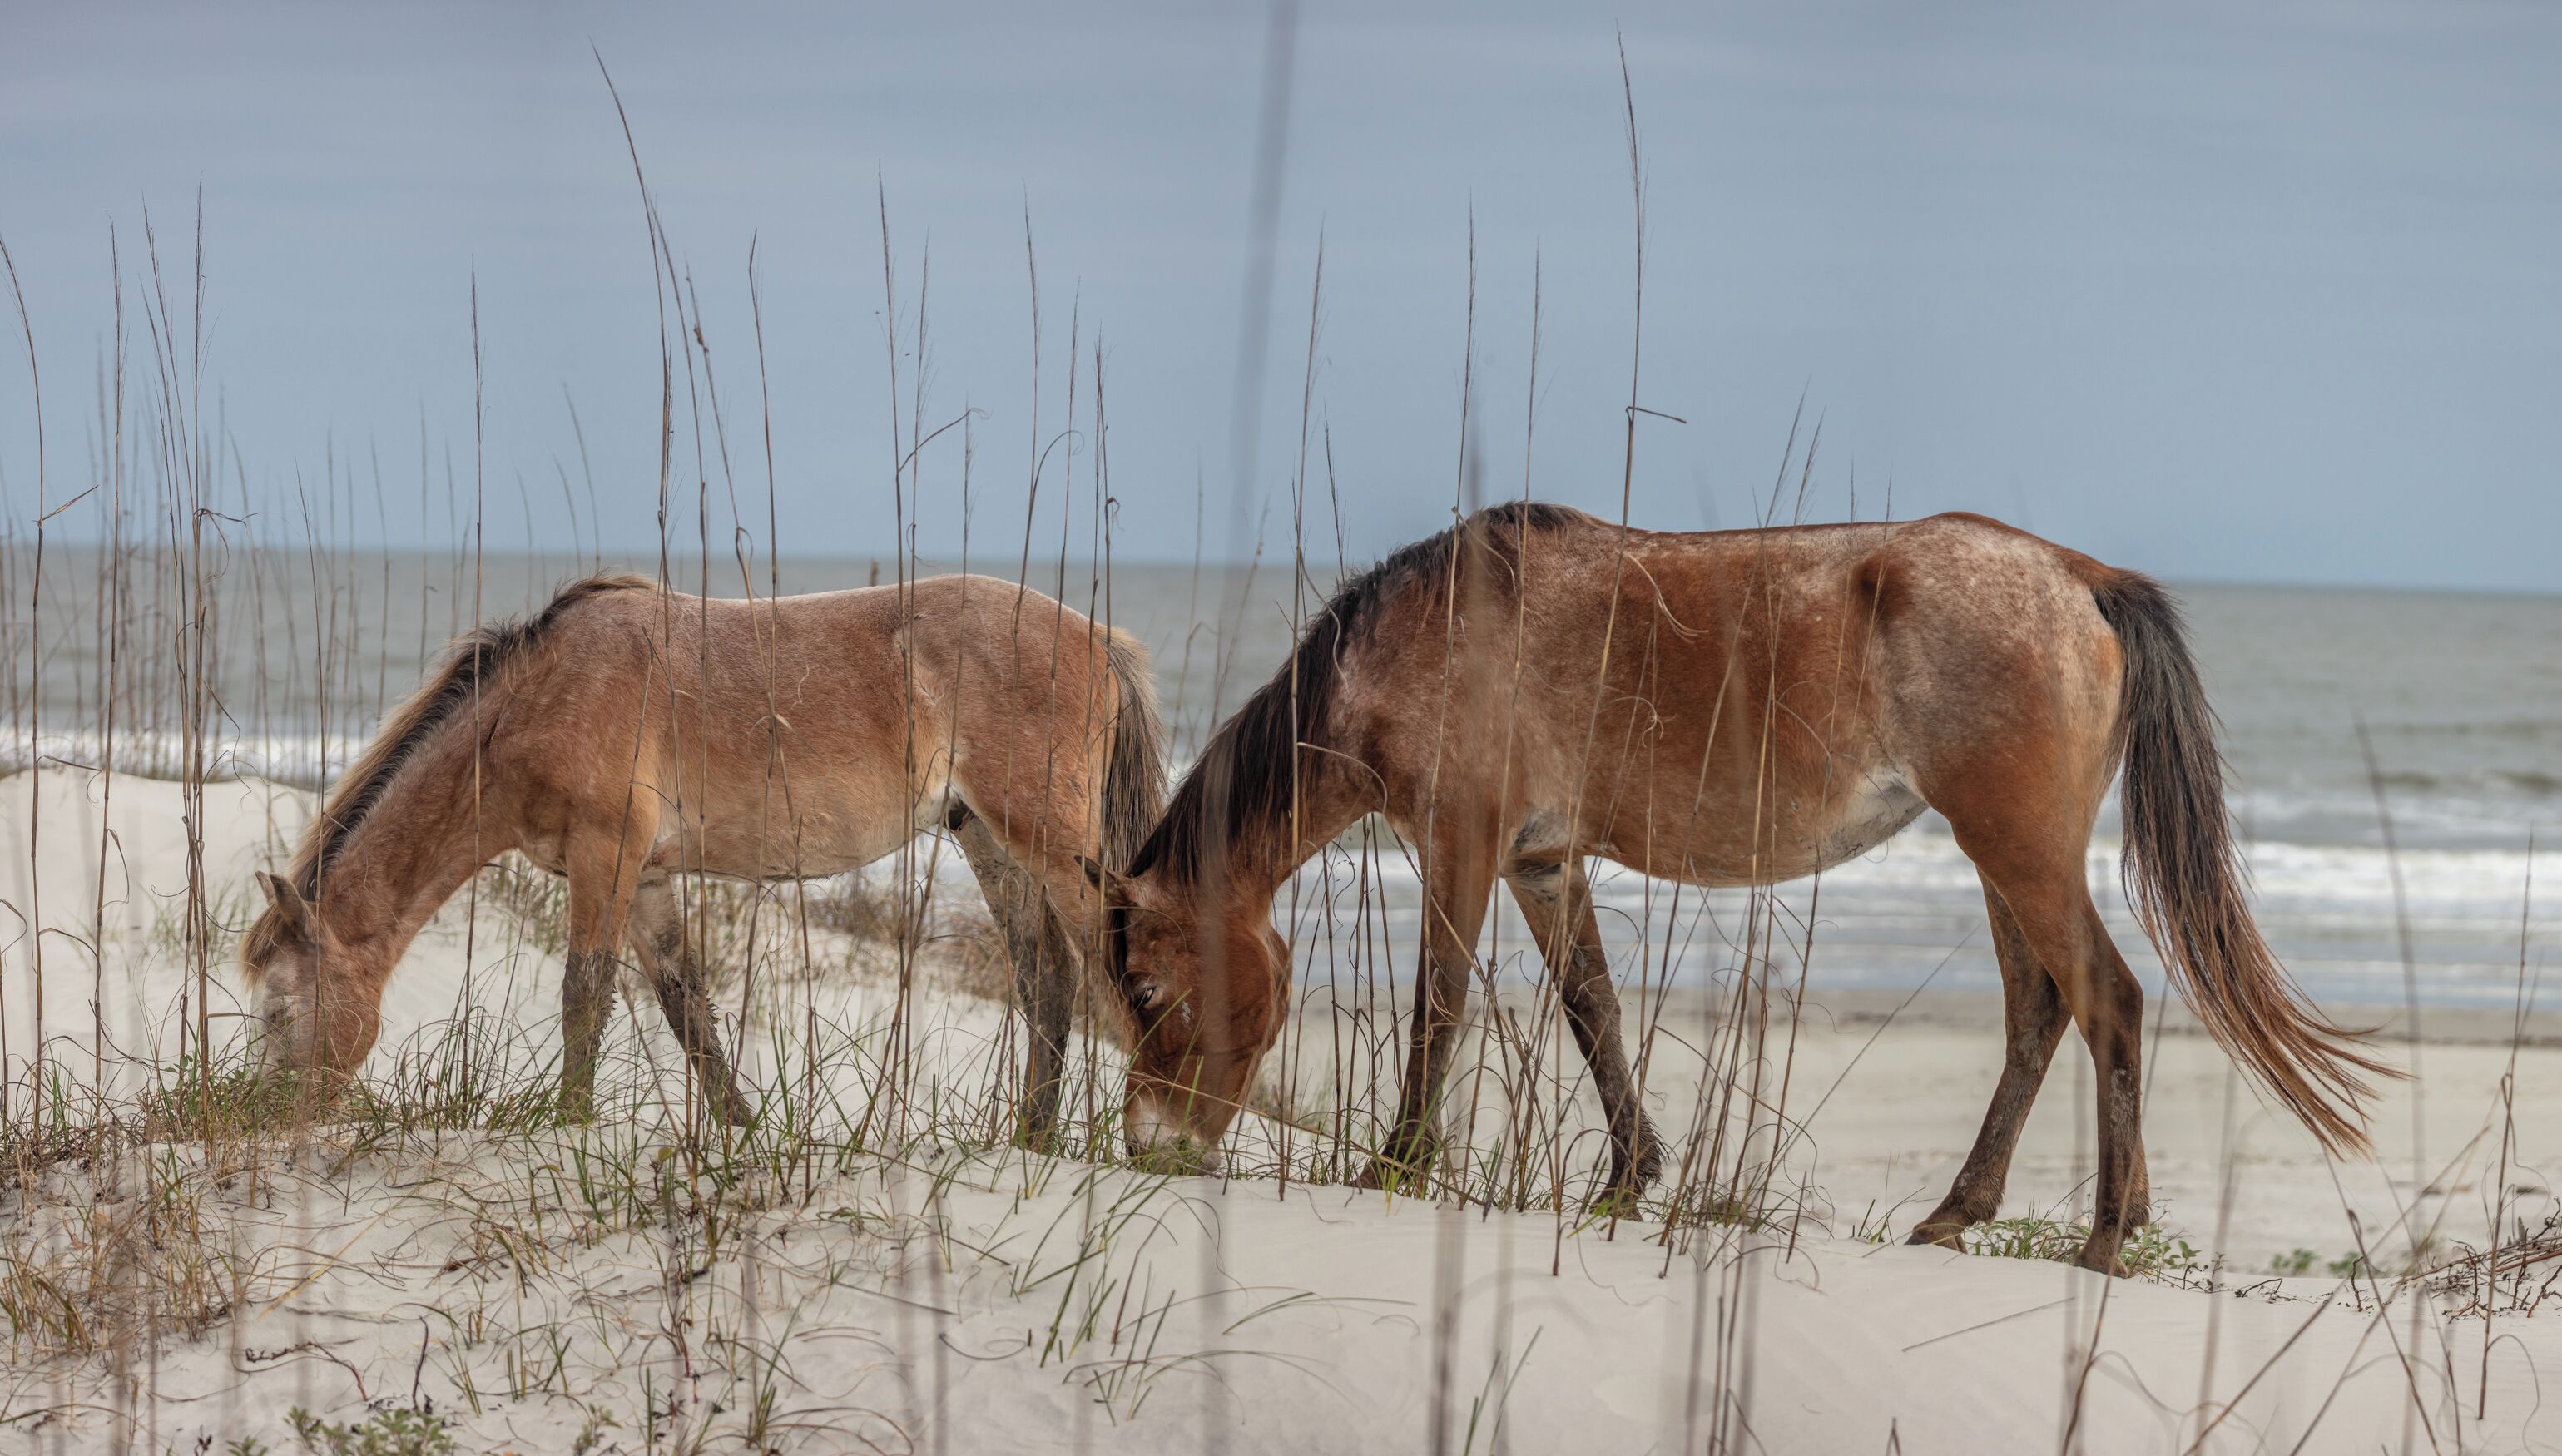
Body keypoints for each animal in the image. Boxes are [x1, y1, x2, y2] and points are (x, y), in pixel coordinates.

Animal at [242, 570, 1162, 1141]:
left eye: (279, 1010)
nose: (260, 1113)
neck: (536, 701)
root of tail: (1097, 638)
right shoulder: (645, 877)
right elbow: (688, 1012)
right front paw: (743, 1135)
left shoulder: (605, 858)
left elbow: (586, 996)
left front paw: (567, 1125)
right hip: (989, 841)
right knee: (1048, 983)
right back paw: (1030, 1144)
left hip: (1048, 844)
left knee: (1112, 971)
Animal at [1088, 501, 2387, 1273]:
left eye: (1146, 989)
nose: (1147, 1145)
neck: (1426, 632)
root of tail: (2078, 575)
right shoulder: (1540, 861)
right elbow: (1592, 1012)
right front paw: (1627, 1178)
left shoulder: (1459, 845)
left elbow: (1437, 1007)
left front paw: (1396, 1164)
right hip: (1999, 856)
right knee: (2037, 1012)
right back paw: (1955, 1211)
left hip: (2014, 847)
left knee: (2106, 1000)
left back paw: (2106, 1235)